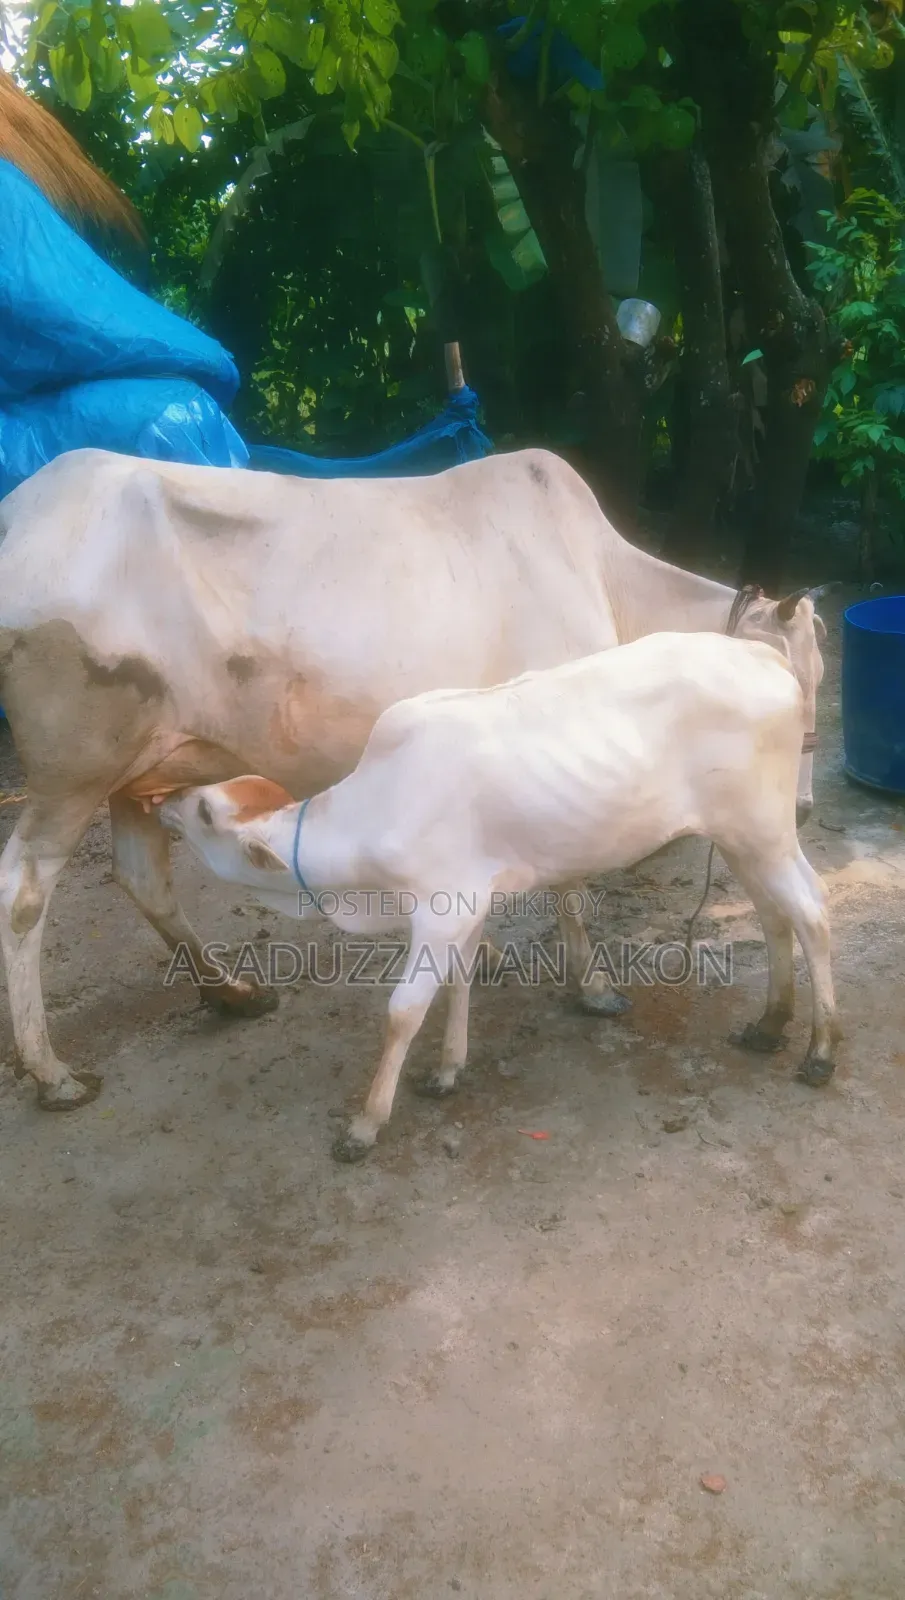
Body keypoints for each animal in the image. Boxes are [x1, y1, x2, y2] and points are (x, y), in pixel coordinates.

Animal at [0, 445, 829, 1109]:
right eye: (799, 675)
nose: (804, 809)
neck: (607, 578)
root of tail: (22, 507)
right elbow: (568, 880)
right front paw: (590, 986)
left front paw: (484, 957)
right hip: (71, 770)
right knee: (23, 894)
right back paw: (51, 1071)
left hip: (139, 771)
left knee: (143, 878)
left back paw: (230, 993)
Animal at [159, 631, 839, 1161]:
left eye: (205, 813)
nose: (164, 799)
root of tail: (761, 654)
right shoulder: (469, 907)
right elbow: (459, 982)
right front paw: (447, 1069)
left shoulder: (440, 910)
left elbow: (403, 1011)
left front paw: (365, 1123)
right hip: (741, 838)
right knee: (775, 916)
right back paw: (770, 1024)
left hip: (763, 830)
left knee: (812, 912)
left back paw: (821, 1049)